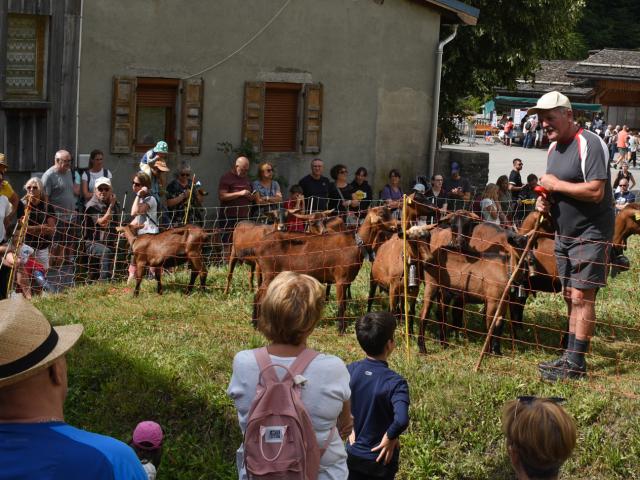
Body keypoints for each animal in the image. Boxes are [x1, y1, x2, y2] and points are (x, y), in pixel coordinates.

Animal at [249, 206, 396, 334]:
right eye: (382, 214)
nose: (397, 225)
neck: (356, 244)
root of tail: (257, 246)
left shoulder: (346, 280)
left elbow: (344, 303)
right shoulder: (341, 279)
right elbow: (341, 304)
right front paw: (341, 329)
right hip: (269, 271)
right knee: (258, 296)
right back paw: (255, 324)